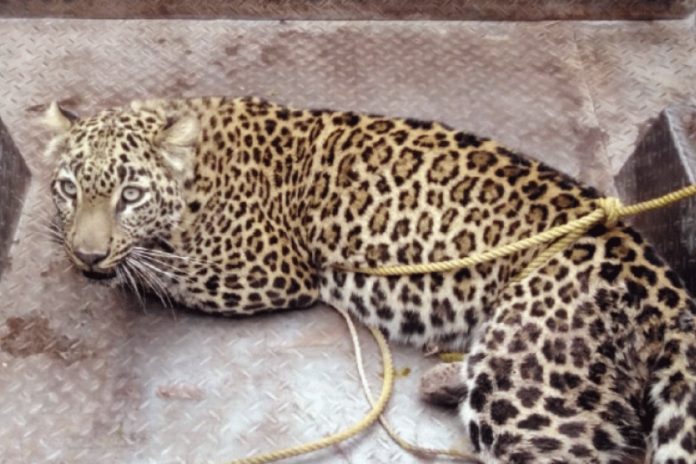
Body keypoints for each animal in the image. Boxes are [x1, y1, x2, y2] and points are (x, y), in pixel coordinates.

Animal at [42, 96, 696, 463]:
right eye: (68, 187)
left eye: (130, 195)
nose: (88, 256)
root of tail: (656, 274)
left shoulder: (263, 268)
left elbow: (159, 269)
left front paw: (115, 263)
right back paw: (443, 379)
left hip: (530, 385)